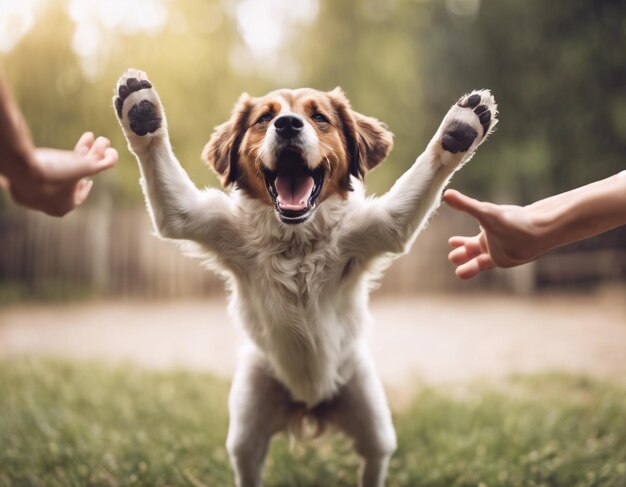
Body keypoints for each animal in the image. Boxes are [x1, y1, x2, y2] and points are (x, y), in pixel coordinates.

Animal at [113, 69, 498, 487]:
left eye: (319, 117)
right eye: (264, 118)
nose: (287, 124)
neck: (295, 243)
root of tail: (310, 401)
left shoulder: (380, 229)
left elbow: (425, 172)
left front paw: (460, 129)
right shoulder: (196, 220)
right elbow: (166, 186)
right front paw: (141, 112)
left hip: (372, 421)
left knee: (373, 459)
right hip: (248, 426)